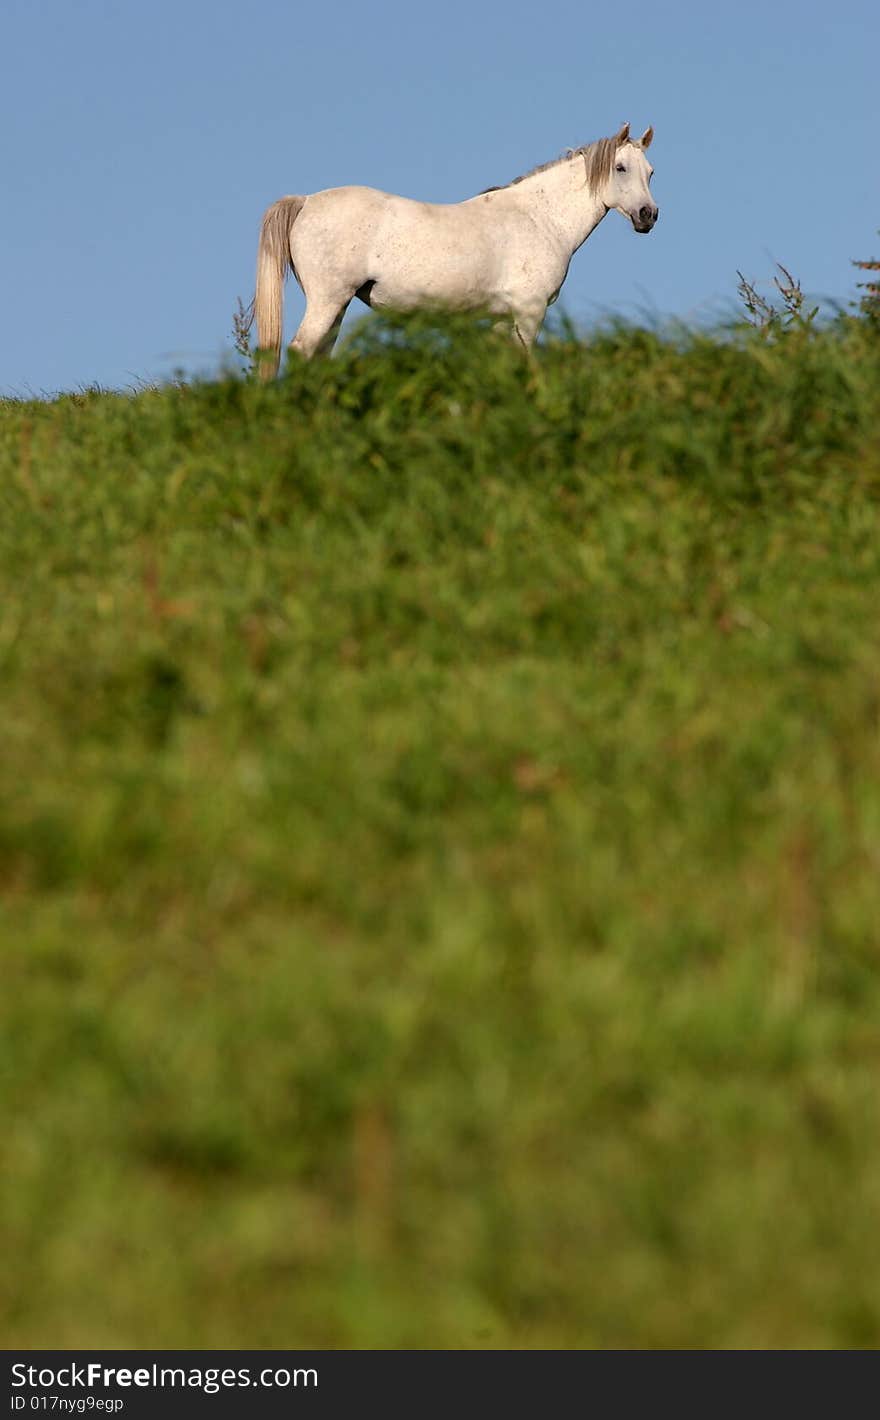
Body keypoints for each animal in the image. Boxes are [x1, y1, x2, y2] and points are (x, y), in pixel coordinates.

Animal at [251, 120, 655, 372]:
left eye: (650, 173)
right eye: (620, 168)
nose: (648, 215)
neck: (540, 218)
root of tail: (306, 201)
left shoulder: (502, 317)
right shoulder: (530, 311)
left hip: (337, 306)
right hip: (328, 300)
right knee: (301, 351)